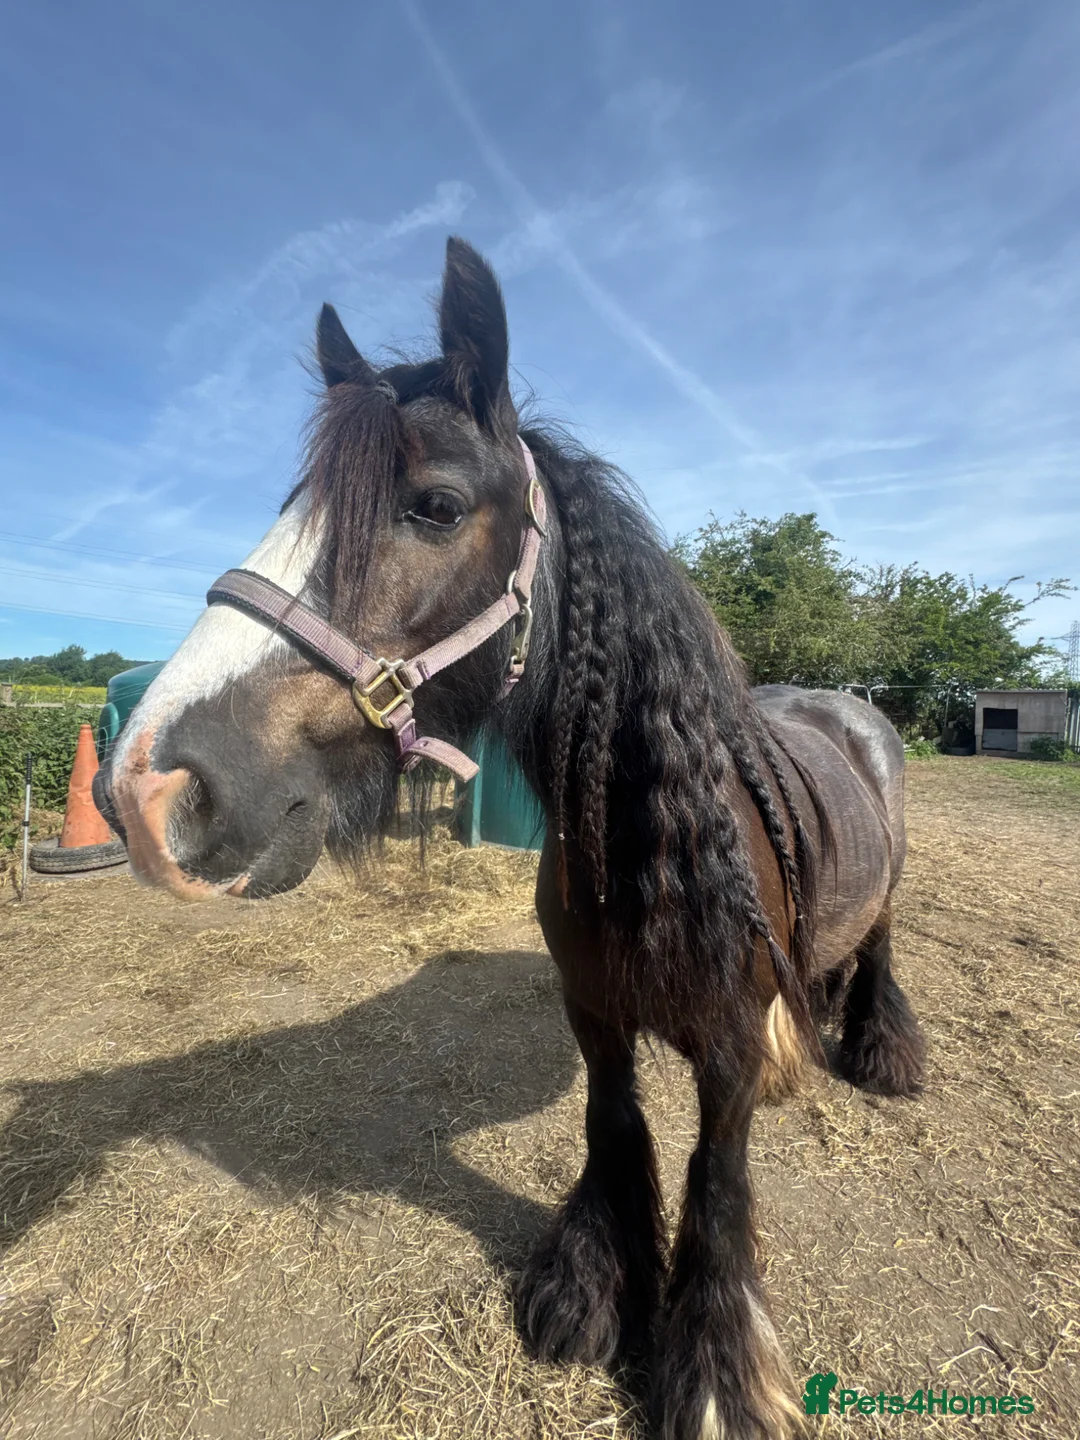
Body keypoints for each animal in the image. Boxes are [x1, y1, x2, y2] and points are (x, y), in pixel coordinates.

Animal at [95, 237, 925, 1440]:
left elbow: (717, 1184)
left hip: (888, 895)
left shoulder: (722, 1047)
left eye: (434, 505)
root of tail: (850, 708)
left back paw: (881, 1050)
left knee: (877, 952)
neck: (646, 842)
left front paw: (719, 1374)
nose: (149, 784)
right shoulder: (595, 1016)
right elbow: (615, 1130)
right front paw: (590, 1289)